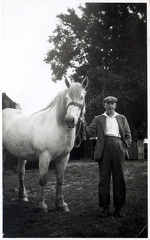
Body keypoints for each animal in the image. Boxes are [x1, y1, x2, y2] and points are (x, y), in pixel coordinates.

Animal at [2, 77, 88, 212]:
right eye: (66, 98)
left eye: (82, 97)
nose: (70, 120)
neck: (58, 127)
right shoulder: (44, 157)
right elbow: (42, 180)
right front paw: (41, 205)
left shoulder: (64, 158)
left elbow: (60, 179)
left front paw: (61, 204)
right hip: (3, 151)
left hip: (21, 154)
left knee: (21, 173)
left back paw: (23, 196)